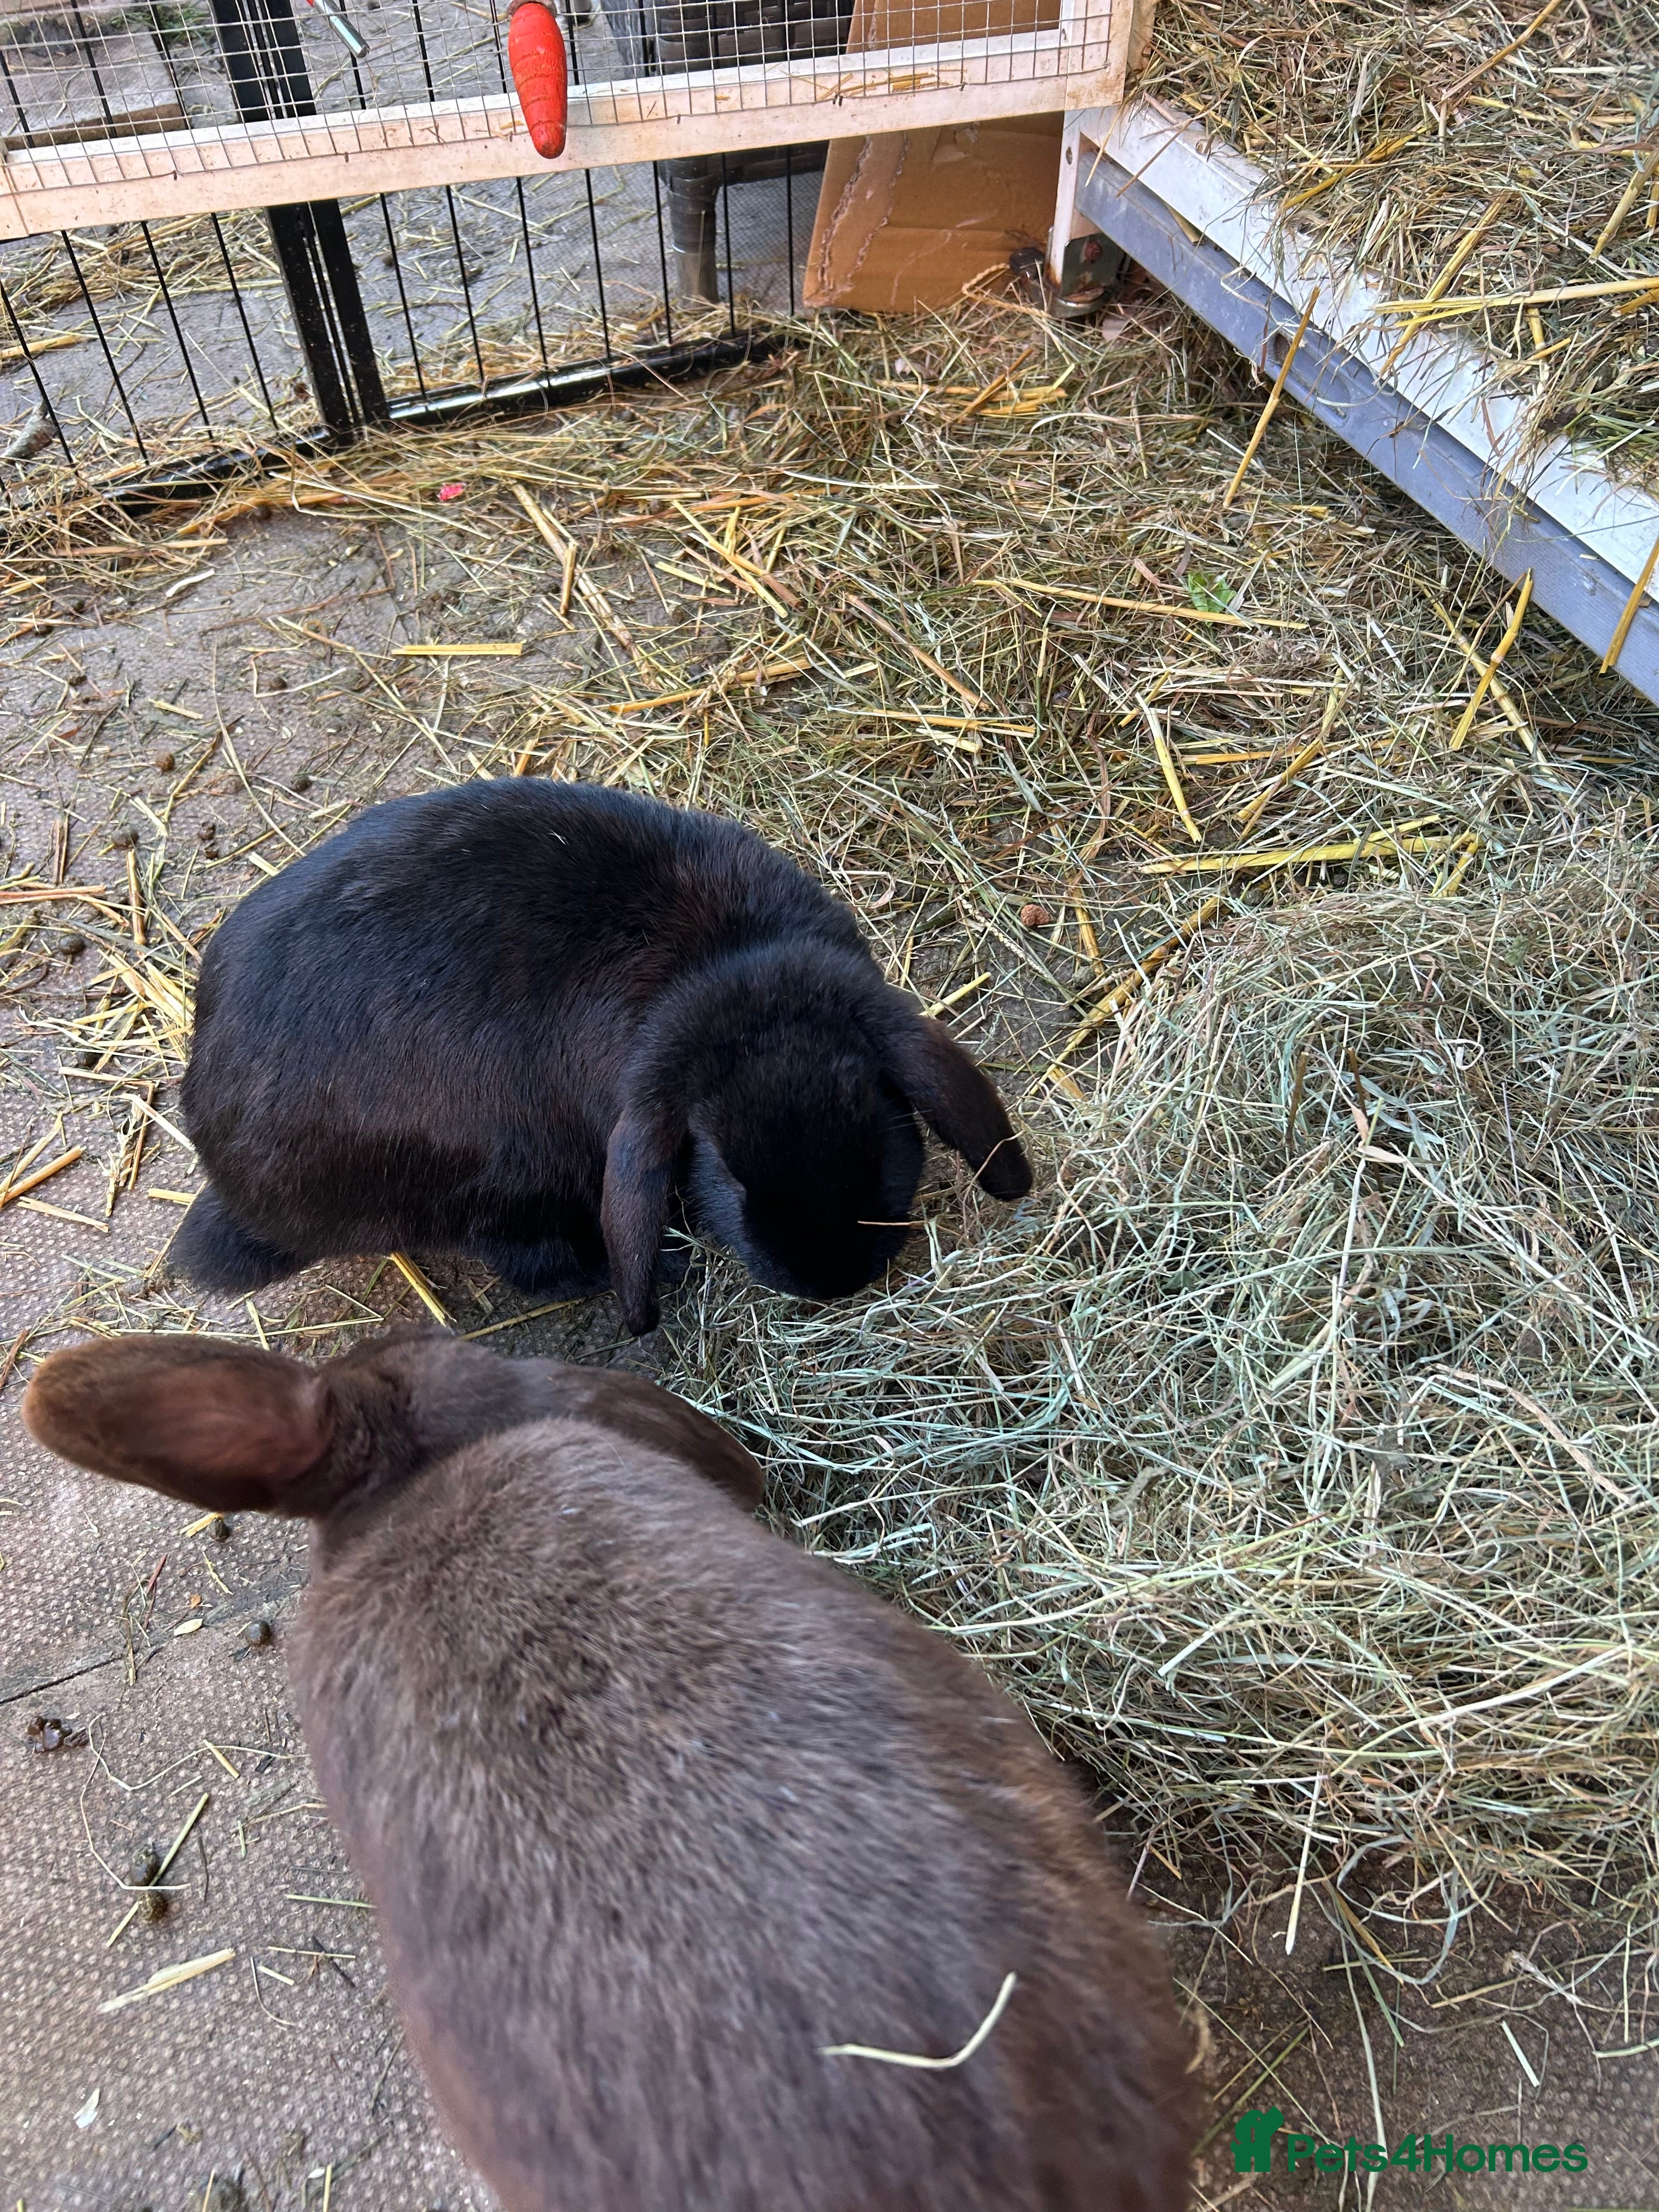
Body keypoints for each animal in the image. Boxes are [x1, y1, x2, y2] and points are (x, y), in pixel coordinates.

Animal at [171, 779, 1031, 1333]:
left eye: (880, 1128)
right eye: (724, 1167)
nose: (834, 1277)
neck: (724, 965)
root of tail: (242, 1191)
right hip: (507, 1184)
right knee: (535, 1264)